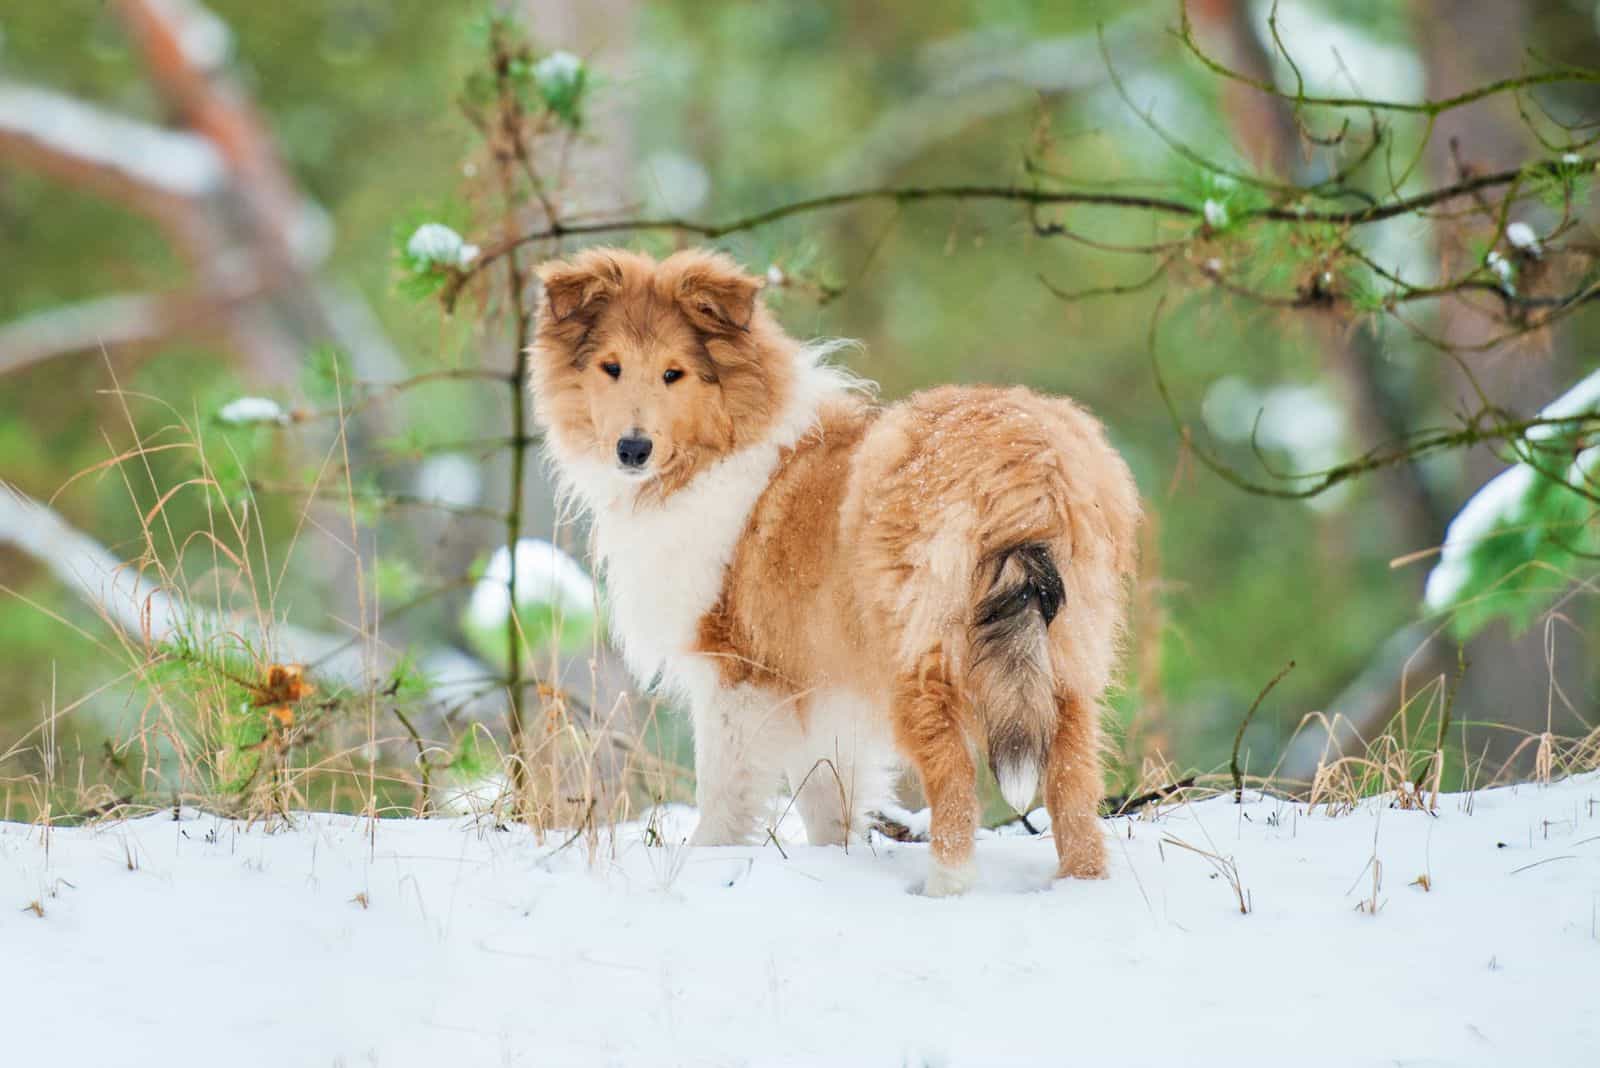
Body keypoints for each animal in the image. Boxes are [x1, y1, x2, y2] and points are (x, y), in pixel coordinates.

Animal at [534, 247, 1139, 895]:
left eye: (675, 373)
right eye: (611, 367)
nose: (632, 450)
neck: (720, 451)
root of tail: (1023, 457)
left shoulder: (737, 666)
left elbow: (724, 790)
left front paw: (705, 861)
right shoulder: (823, 683)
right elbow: (830, 797)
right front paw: (836, 858)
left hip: (916, 656)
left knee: (952, 776)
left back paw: (943, 889)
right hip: (1064, 658)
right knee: (1072, 786)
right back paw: (1079, 885)